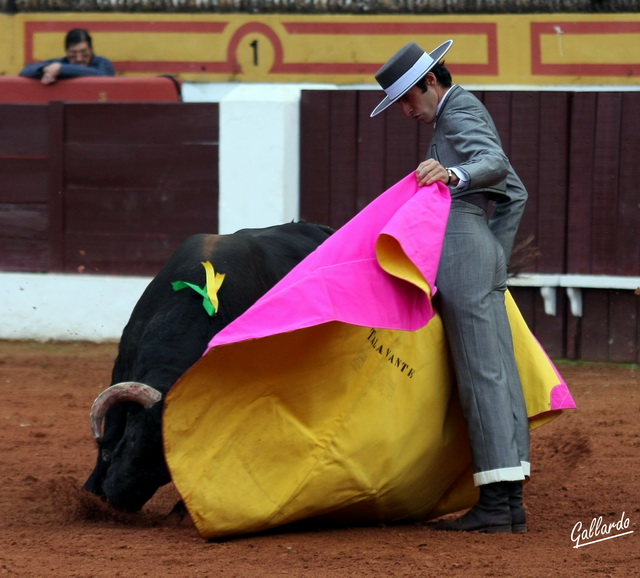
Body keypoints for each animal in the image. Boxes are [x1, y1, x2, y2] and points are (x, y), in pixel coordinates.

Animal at [82, 220, 332, 508]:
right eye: (133, 435)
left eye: (169, 468)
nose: (120, 499)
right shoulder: (123, 365)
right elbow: (110, 433)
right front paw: (90, 493)